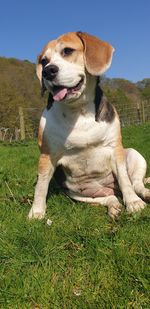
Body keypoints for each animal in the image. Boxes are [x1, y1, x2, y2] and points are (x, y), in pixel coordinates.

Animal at [28, 31, 150, 219]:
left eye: (67, 51)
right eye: (44, 61)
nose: (48, 71)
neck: (79, 111)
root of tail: (111, 189)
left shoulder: (115, 149)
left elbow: (124, 180)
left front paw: (133, 202)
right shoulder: (47, 155)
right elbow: (41, 186)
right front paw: (36, 211)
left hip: (133, 154)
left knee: (135, 183)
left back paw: (144, 194)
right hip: (77, 193)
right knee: (108, 198)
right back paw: (113, 206)